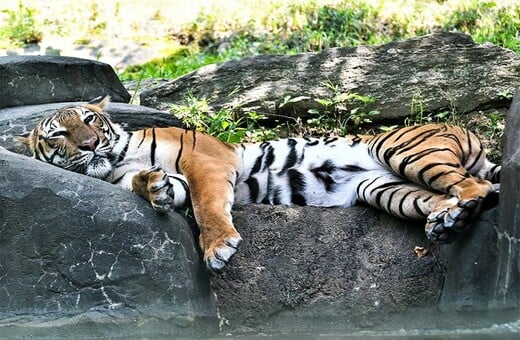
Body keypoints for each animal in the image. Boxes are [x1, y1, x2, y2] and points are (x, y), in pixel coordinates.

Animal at [18, 95, 502, 270]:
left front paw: (217, 247)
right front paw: (153, 187)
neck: (118, 157)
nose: (91, 143)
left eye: (89, 119)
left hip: (401, 149)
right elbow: (161, 187)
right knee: (456, 194)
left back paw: (456, 213)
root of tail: (470, 133)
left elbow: (207, 206)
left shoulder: (205, 161)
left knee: (475, 187)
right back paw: (447, 220)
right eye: (59, 134)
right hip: (384, 189)